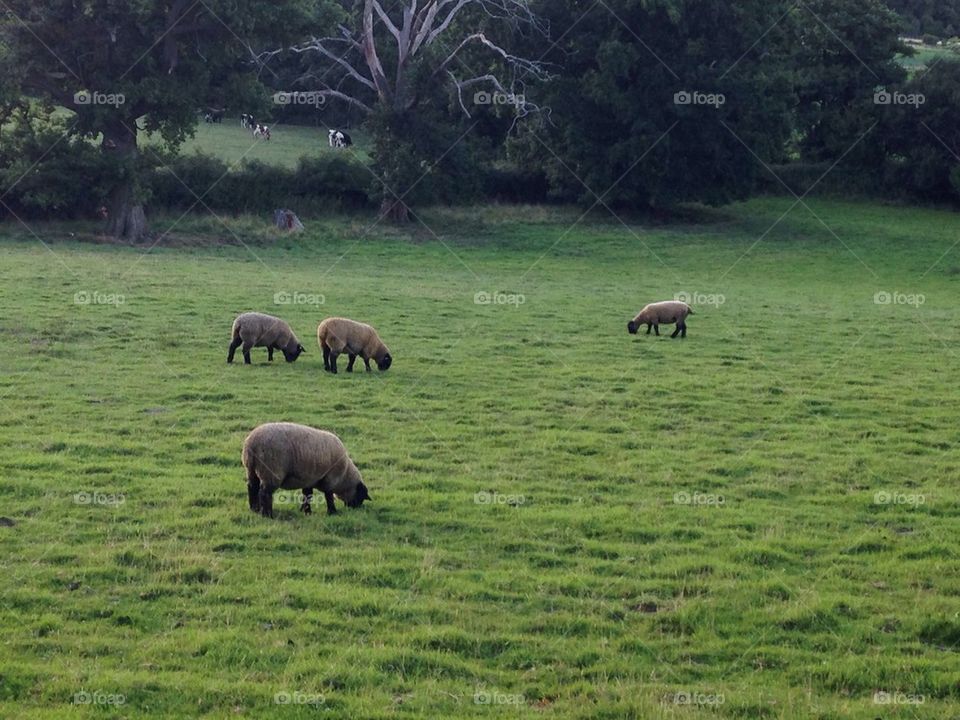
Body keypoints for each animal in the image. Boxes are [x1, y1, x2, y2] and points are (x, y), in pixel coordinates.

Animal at [242, 422, 370, 518]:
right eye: (361, 495)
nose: (356, 509)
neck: (344, 475)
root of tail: (252, 444)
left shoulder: (310, 479)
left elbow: (307, 495)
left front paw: (306, 511)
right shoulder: (329, 478)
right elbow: (328, 496)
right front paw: (332, 512)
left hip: (251, 469)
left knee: (252, 487)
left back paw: (254, 509)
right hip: (271, 471)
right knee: (264, 492)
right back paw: (267, 514)